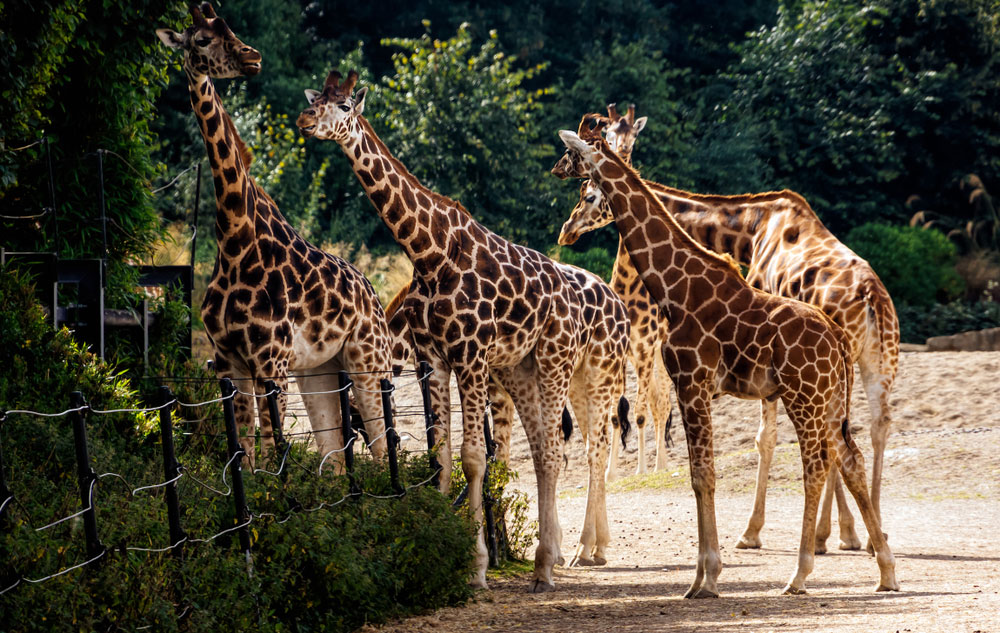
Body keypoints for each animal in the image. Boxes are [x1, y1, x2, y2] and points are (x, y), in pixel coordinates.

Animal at [157, 4, 390, 470]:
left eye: (230, 30)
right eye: (202, 39)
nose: (253, 57)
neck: (234, 238)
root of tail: (373, 294)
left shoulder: (270, 361)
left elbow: (271, 453)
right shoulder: (229, 360)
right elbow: (246, 453)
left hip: (369, 363)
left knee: (384, 446)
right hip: (318, 370)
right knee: (336, 457)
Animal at [292, 70, 628, 588]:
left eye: (345, 105)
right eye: (318, 98)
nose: (307, 120)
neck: (430, 253)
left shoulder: (469, 355)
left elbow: (474, 456)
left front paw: (477, 567)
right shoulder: (432, 358)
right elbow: (442, 457)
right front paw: (446, 556)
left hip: (559, 363)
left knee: (557, 450)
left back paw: (549, 565)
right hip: (521, 370)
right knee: (541, 450)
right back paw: (548, 558)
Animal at [560, 103, 676, 476]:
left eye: (634, 134)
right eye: (608, 132)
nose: (566, 232)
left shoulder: (644, 349)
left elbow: (638, 414)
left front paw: (640, 471)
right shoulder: (623, 353)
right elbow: (613, 415)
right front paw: (611, 472)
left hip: (658, 356)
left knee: (661, 404)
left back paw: (659, 466)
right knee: (656, 402)